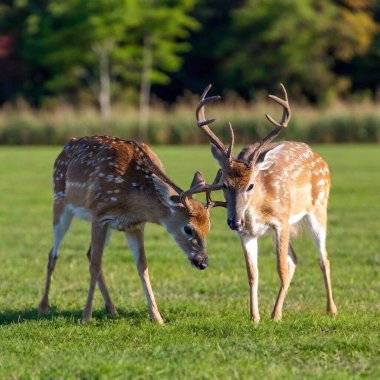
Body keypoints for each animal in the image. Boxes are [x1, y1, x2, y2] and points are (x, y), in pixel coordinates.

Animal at [37, 135, 223, 322]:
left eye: (208, 228)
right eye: (188, 229)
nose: (202, 262)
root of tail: (68, 143)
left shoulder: (134, 225)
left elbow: (142, 266)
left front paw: (157, 318)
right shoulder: (99, 215)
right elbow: (95, 265)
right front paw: (86, 317)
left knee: (88, 254)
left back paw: (111, 308)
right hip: (60, 202)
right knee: (54, 253)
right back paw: (44, 306)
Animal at [196, 84, 338, 322]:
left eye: (251, 185)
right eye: (223, 184)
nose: (234, 222)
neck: (257, 211)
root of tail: (319, 156)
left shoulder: (281, 221)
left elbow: (280, 268)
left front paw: (276, 316)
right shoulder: (247, 234)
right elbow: (253, 274)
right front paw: (255, 317)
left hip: (318, 209)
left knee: (322, 259)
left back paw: (331, 309)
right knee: (295, 259)